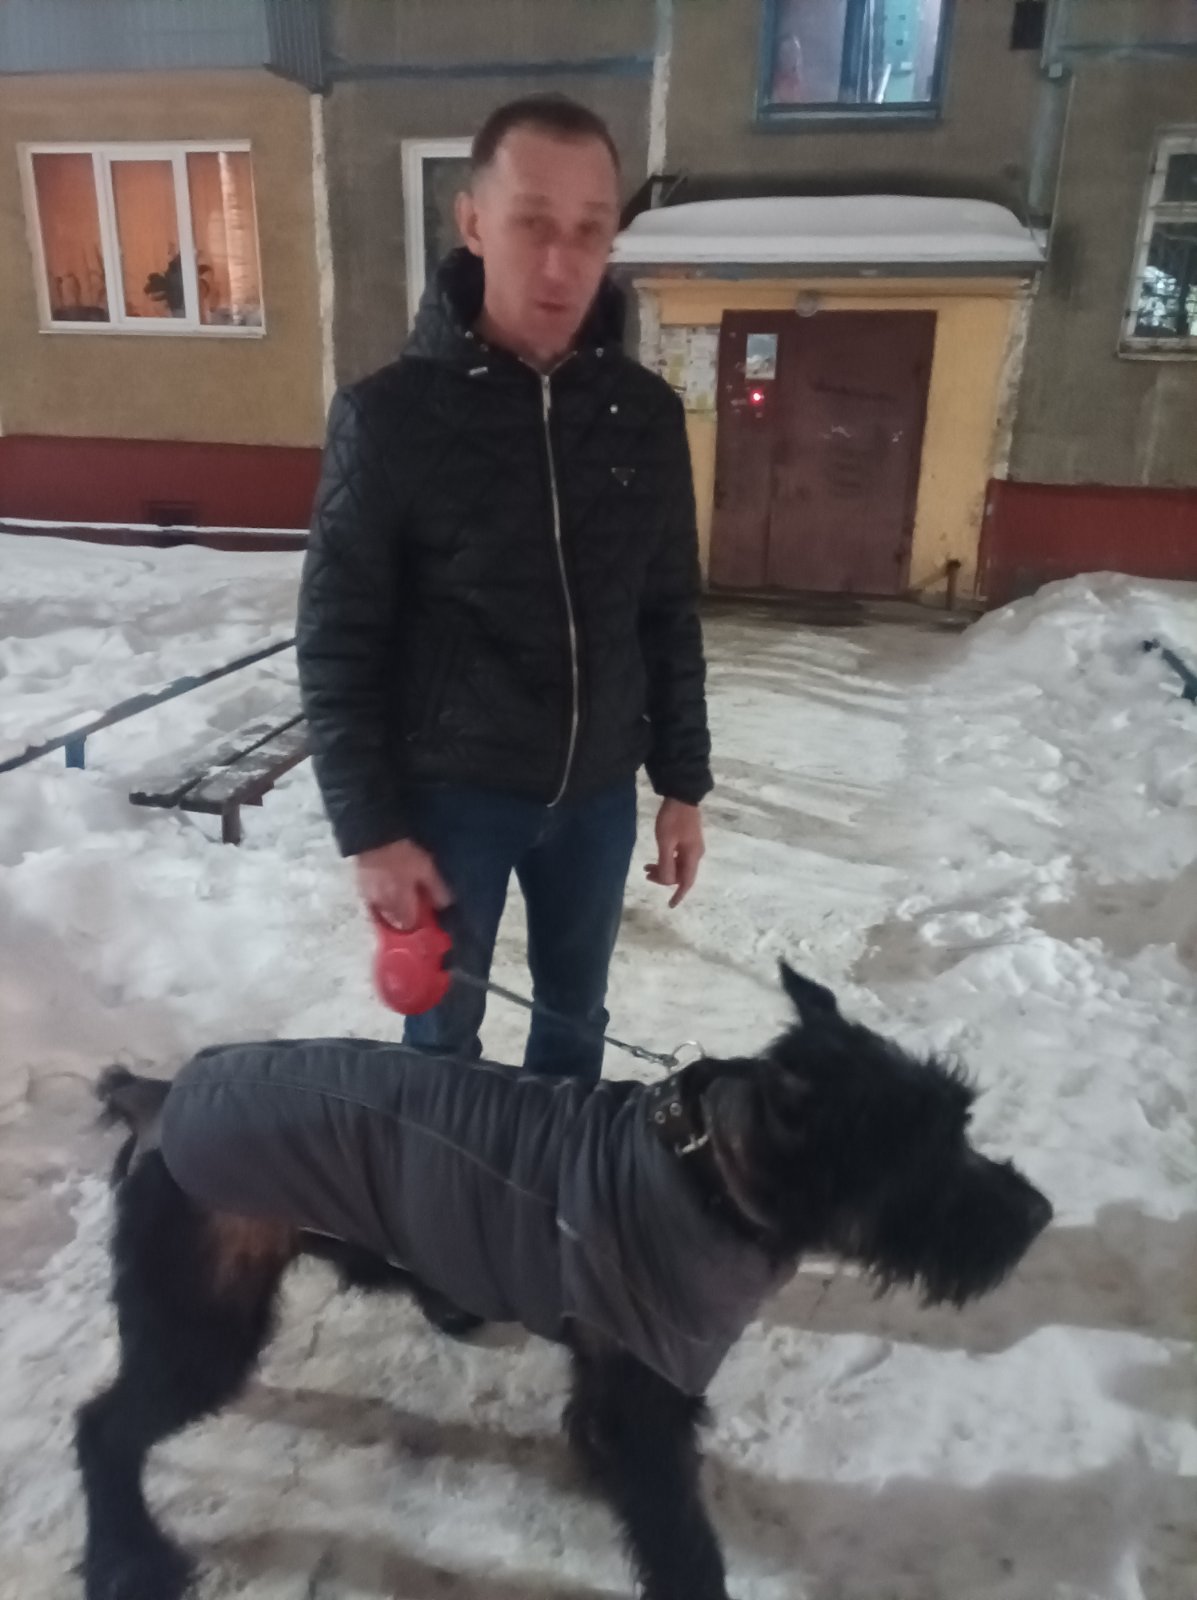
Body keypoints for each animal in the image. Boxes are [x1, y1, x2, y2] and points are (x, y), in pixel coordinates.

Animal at [76, 965, 1052, 1600]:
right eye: (925, 1150)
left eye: (960, 1123)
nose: (1038, 1214)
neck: (708, 1174)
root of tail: (162, 1094)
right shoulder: (653, 1388)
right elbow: (681, 1539)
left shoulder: (614, 1362)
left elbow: (602, 1434)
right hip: (200, 1315)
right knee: (104, 1430)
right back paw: (133, 1560)